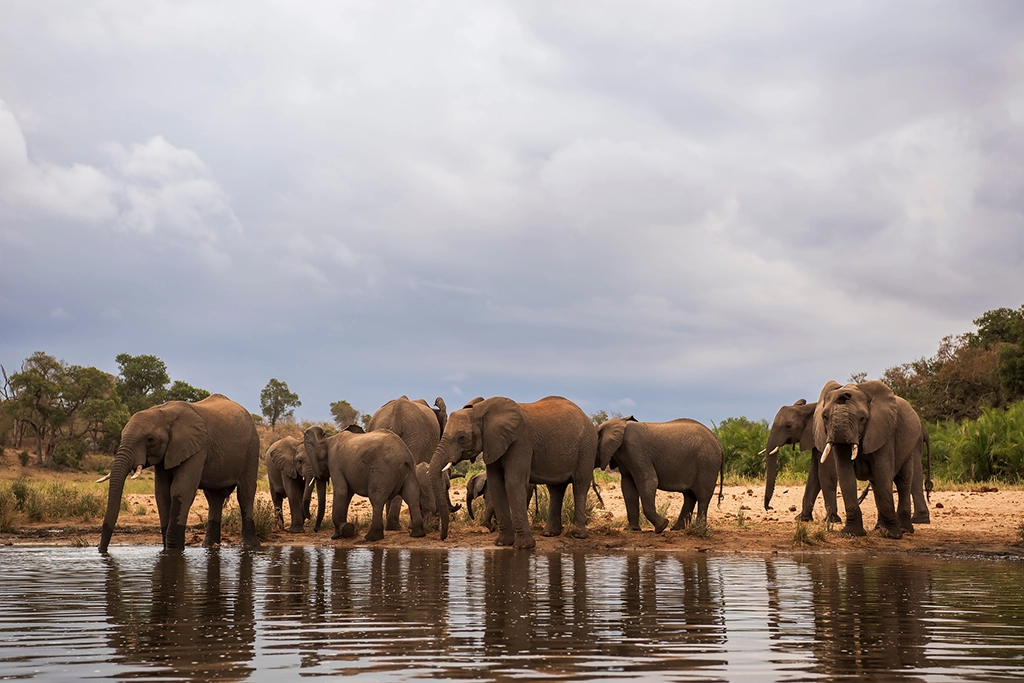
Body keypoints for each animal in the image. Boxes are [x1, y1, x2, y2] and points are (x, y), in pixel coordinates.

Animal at [99, 393, 261, 552]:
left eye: (150, 440)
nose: (101, 550)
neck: (163, 412)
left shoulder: (197, 447)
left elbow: (181, 491)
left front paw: (174, 550)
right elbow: (162, 493)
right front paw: (167, 550)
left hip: (252, 448)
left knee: (245, 494)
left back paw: (251, 547)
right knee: (214, 498)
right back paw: (209, 546)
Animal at [428, 395, 598, 548]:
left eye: (462, 438)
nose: (443, 537)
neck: (481, 410)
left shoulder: (520, 442)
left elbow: (513, 482)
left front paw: (524, 546)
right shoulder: (494, 444)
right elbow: (496, 484)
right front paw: (502, 543)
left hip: (587, 447)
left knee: (579, 485)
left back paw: (578, 535)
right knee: (556, 489)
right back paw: (549, 534)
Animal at [813, 380, 930, 538]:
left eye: (862, 418)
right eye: (825, 417)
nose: (844, 395)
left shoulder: (884, 433)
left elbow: (882, 472)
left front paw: (893, 535)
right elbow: (845, 475)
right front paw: (852, 533)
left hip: (911, 445)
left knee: (903, 481)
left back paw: (903, 530)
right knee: (877, 485)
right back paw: (880, 528)